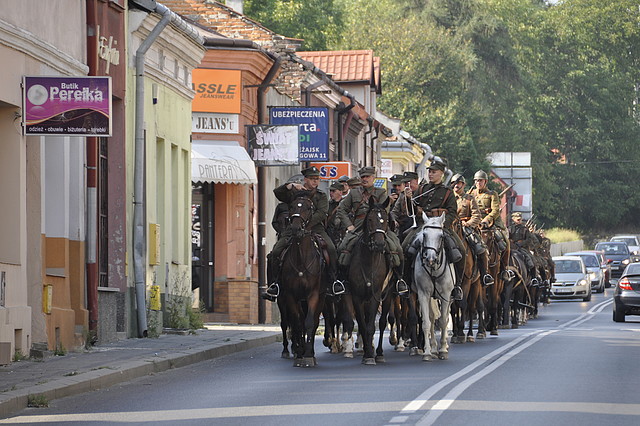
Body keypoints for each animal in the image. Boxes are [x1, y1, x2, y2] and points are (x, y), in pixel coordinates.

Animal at [280, 191, 328, 368]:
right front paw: (300, 354)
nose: (295, 228)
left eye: (308, 207)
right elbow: (297, 323)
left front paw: (308, 355)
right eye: (292, 206)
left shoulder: (313, 294)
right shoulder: (290, 296)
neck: (301, 259)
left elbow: (308, 323)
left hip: (321, 298)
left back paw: (310, 351)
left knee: (313, 322)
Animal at [348, 196, 392, 366]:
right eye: (371, 219)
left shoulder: (375, 295)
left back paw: (378, 353)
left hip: (388, 295)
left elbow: (371, 327)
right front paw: (367, 353)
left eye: (386, 220)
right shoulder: (356, 297)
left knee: (382, 322)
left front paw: (370, 355)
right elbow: (362, 324)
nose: (379, 245)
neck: (368, 262)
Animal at [410, 211, 456, 362]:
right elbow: (426, 323)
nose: (430, 258)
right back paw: (434, 348)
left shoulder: (446, 295)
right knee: (431, 318)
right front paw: (428, 352)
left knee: (445, 318)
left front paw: (443, 350)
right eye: (424, 235)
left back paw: (443, 346)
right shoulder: (423, 294)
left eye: (441, 236)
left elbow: (442, 321)